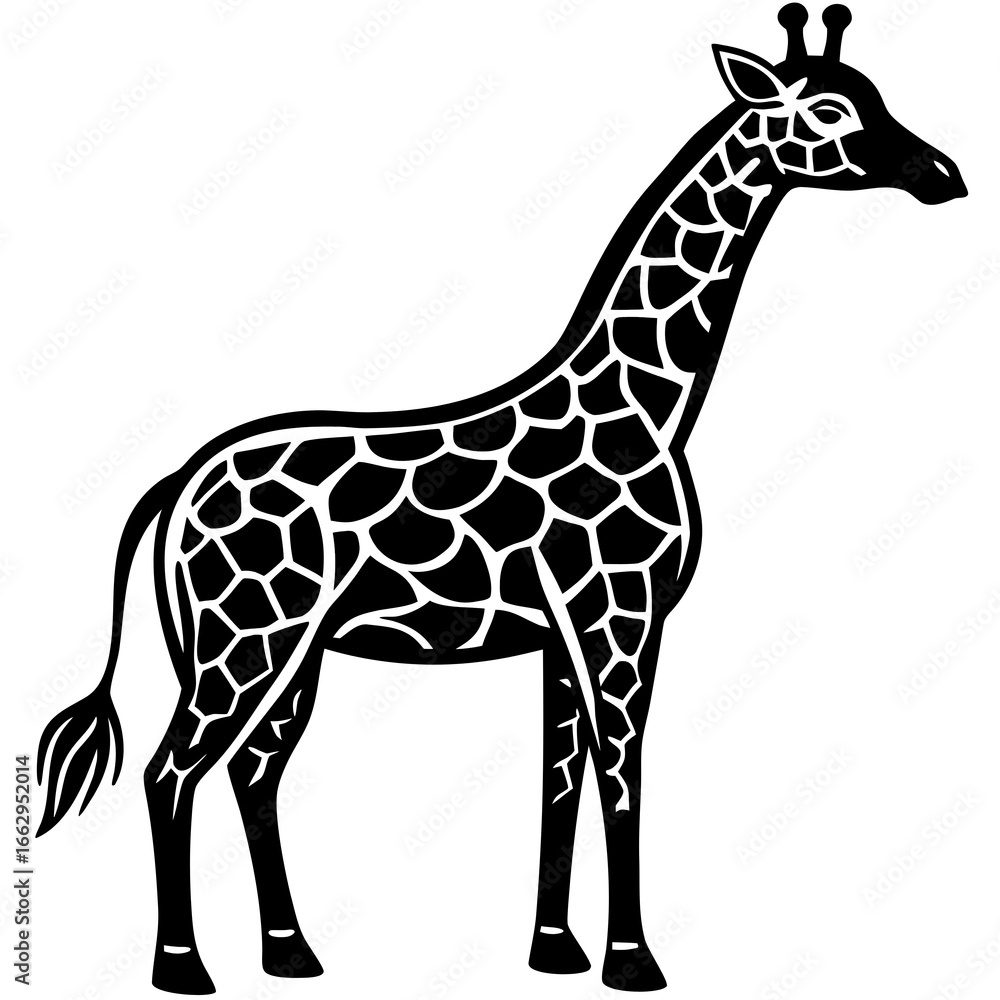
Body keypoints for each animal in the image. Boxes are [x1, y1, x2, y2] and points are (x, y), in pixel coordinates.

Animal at [37, 5, 966, 995]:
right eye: (830, 109)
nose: (944, 176)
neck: (650, 403)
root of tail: (177, 485)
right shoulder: (621, 615)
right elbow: (622, 774)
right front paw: (634, 961)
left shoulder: (565, 633)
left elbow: (562, 779)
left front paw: (555, 950)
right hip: (246, 639)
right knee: (171, 772)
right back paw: (183, 966)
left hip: (290, 651)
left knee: (252, 770)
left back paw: (290, 951)